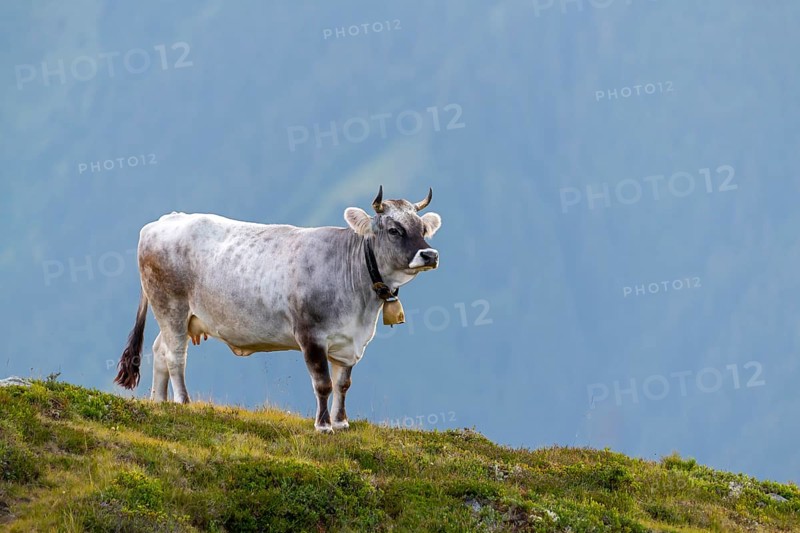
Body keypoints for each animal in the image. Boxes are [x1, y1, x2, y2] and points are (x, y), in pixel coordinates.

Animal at [114, 186, 441, 432]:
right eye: (394, 230)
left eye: (423, 228)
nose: (430, 254)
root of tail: (163, 221)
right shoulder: (310, 335)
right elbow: (323, 383)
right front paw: (323, 426)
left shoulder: (350, 342)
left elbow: (343, 384)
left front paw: (341, 422)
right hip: (171, 306)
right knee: (175, 356)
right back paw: (183, 401)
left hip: (180, 316)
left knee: (159, 350)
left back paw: (158, 402)